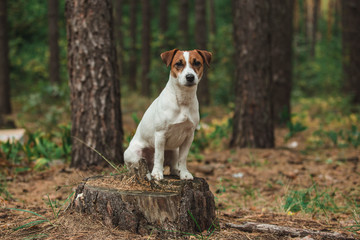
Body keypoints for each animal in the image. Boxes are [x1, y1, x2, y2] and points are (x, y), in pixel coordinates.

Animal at [125, 48, 212, 180]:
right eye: (178, 63)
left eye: (197, 63)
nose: (190, 77)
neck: (182, 99)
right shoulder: (161, 134)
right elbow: (159, 156)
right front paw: (157, 173)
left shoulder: (189, 136)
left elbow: (183, 158)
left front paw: (184, 173)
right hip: (134, 154)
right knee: (136, 168)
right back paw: (148, 173)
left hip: (174, 150)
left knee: (173, 165)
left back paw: (177, 171)